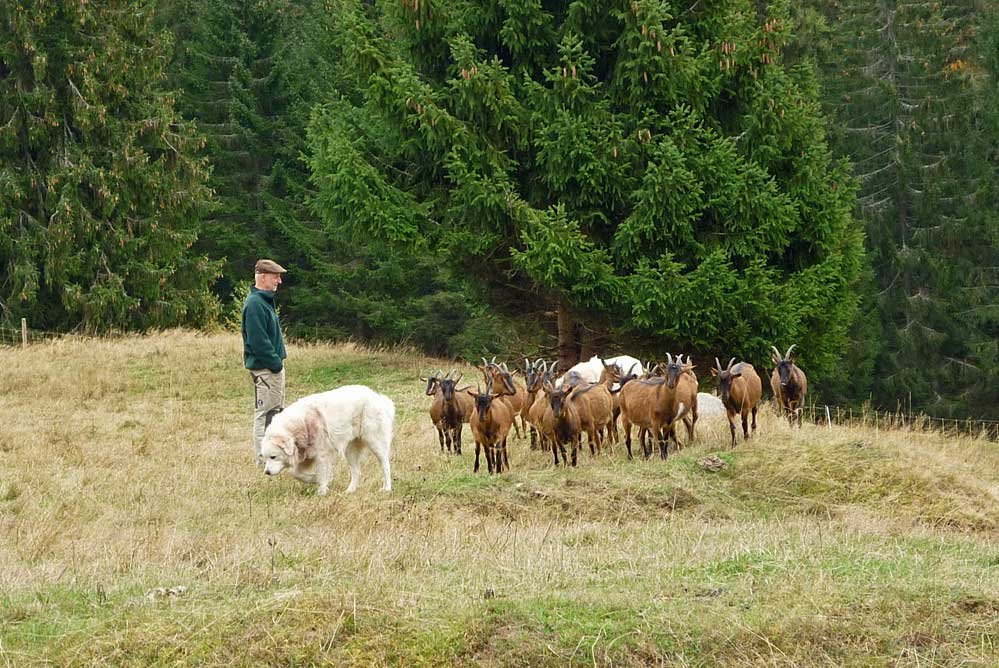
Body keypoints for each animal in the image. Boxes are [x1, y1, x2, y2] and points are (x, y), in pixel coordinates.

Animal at [259, 385, 394, 495]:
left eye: (273, 457)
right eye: (265, 458)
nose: (266, 472)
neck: (300, 425)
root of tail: (376, 397)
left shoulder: (322, 455)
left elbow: (322, 473)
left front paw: (322, 491)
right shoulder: (306, 456)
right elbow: (296, 473)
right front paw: (314, 479)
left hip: (375, 443)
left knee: (385, 465)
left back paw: (387, 488)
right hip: (350, 450)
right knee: (356, 471)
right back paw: (350, 490)